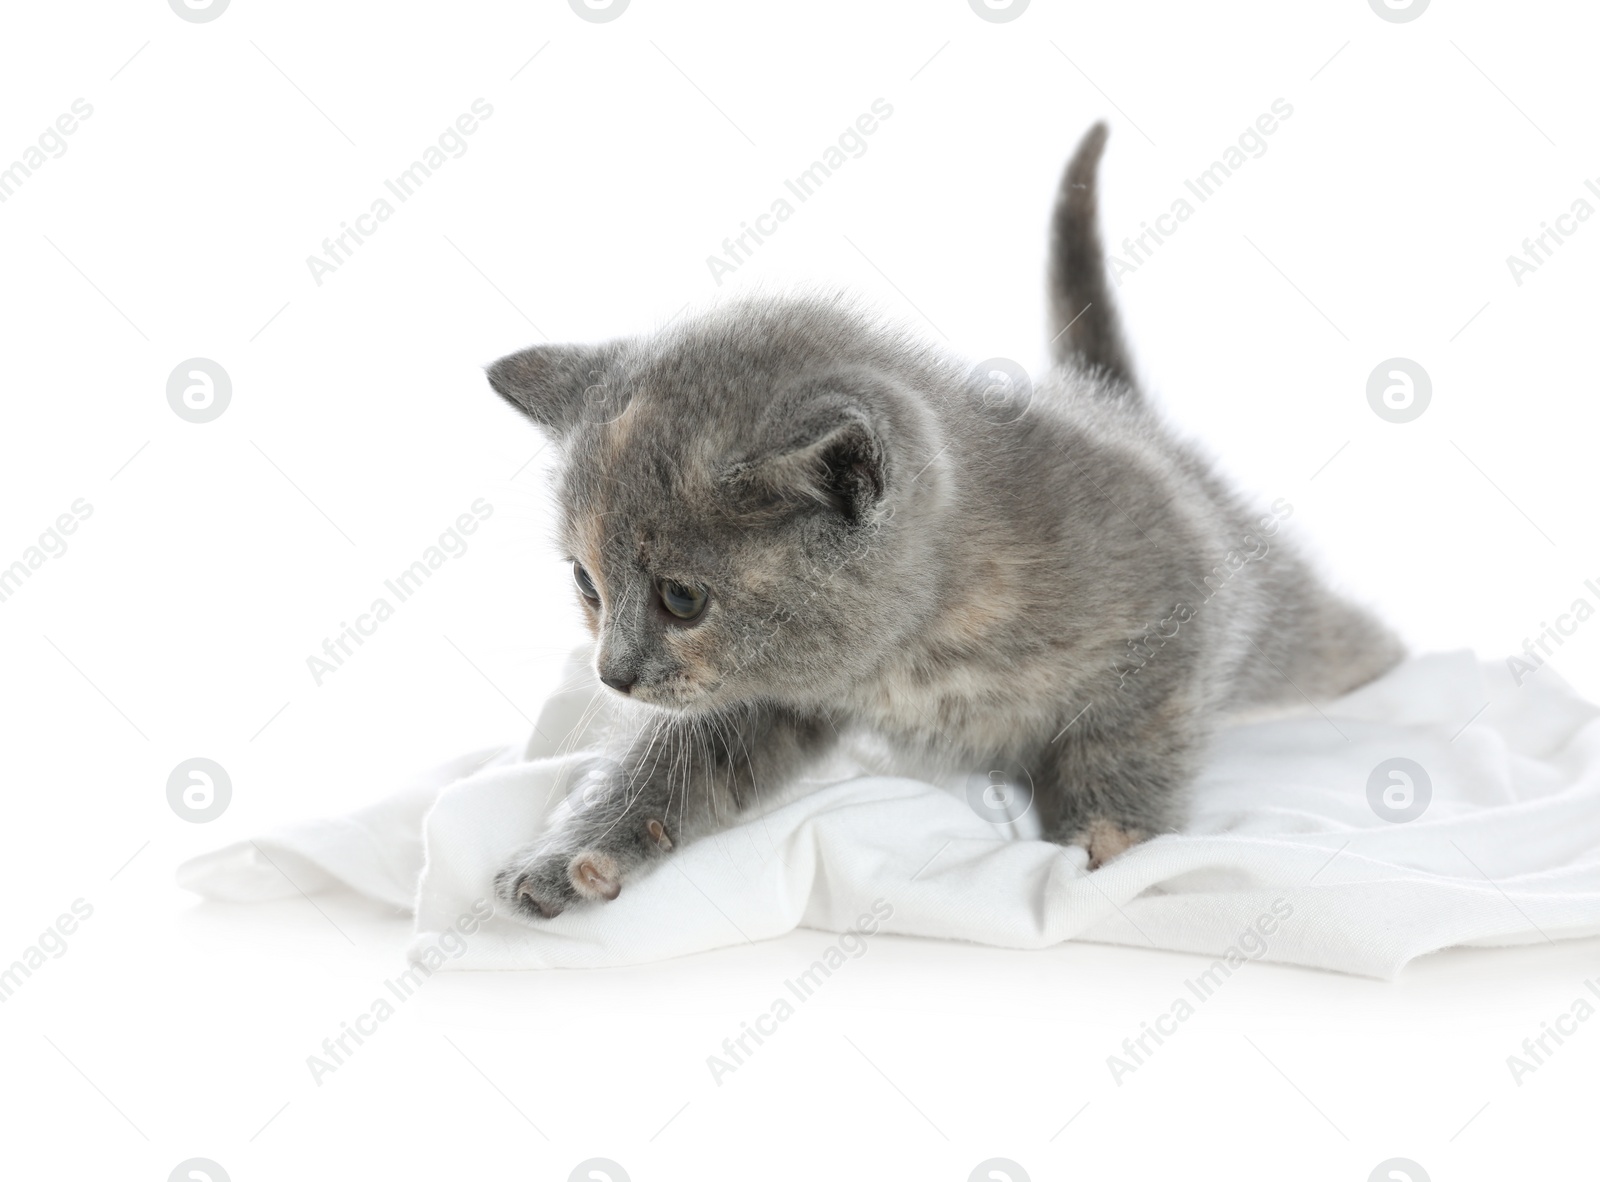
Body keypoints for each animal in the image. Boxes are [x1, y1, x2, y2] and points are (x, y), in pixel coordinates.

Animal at [483, 124, 1401, 921]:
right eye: (585, 583)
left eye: (681, 598)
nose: (612, 674)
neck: (915, 652)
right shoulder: (767, 695)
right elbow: (674, 766)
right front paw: (570, 858)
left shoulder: (1181, 601)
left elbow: (1129, 733)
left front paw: (1109, 844)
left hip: (1278, 621)